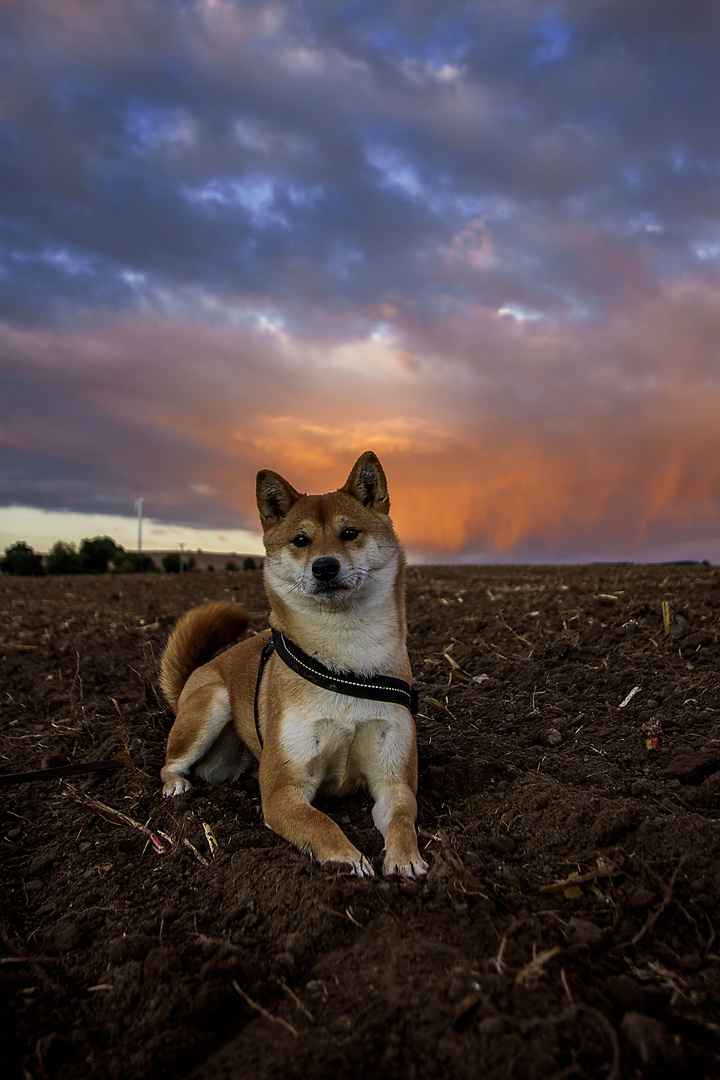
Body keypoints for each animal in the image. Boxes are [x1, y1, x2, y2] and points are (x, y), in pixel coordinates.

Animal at [158, 449, 427, 876]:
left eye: (350, 533)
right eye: (301, 540)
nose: (325, 566)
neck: (346, 663)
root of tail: (191, 681)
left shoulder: (394, 782)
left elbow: (402, 818)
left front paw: (406, 860)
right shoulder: (283, 791)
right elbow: (321, 823)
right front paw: (347, 859)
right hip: (209, 707)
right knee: (169, 763)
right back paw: (175, 785)